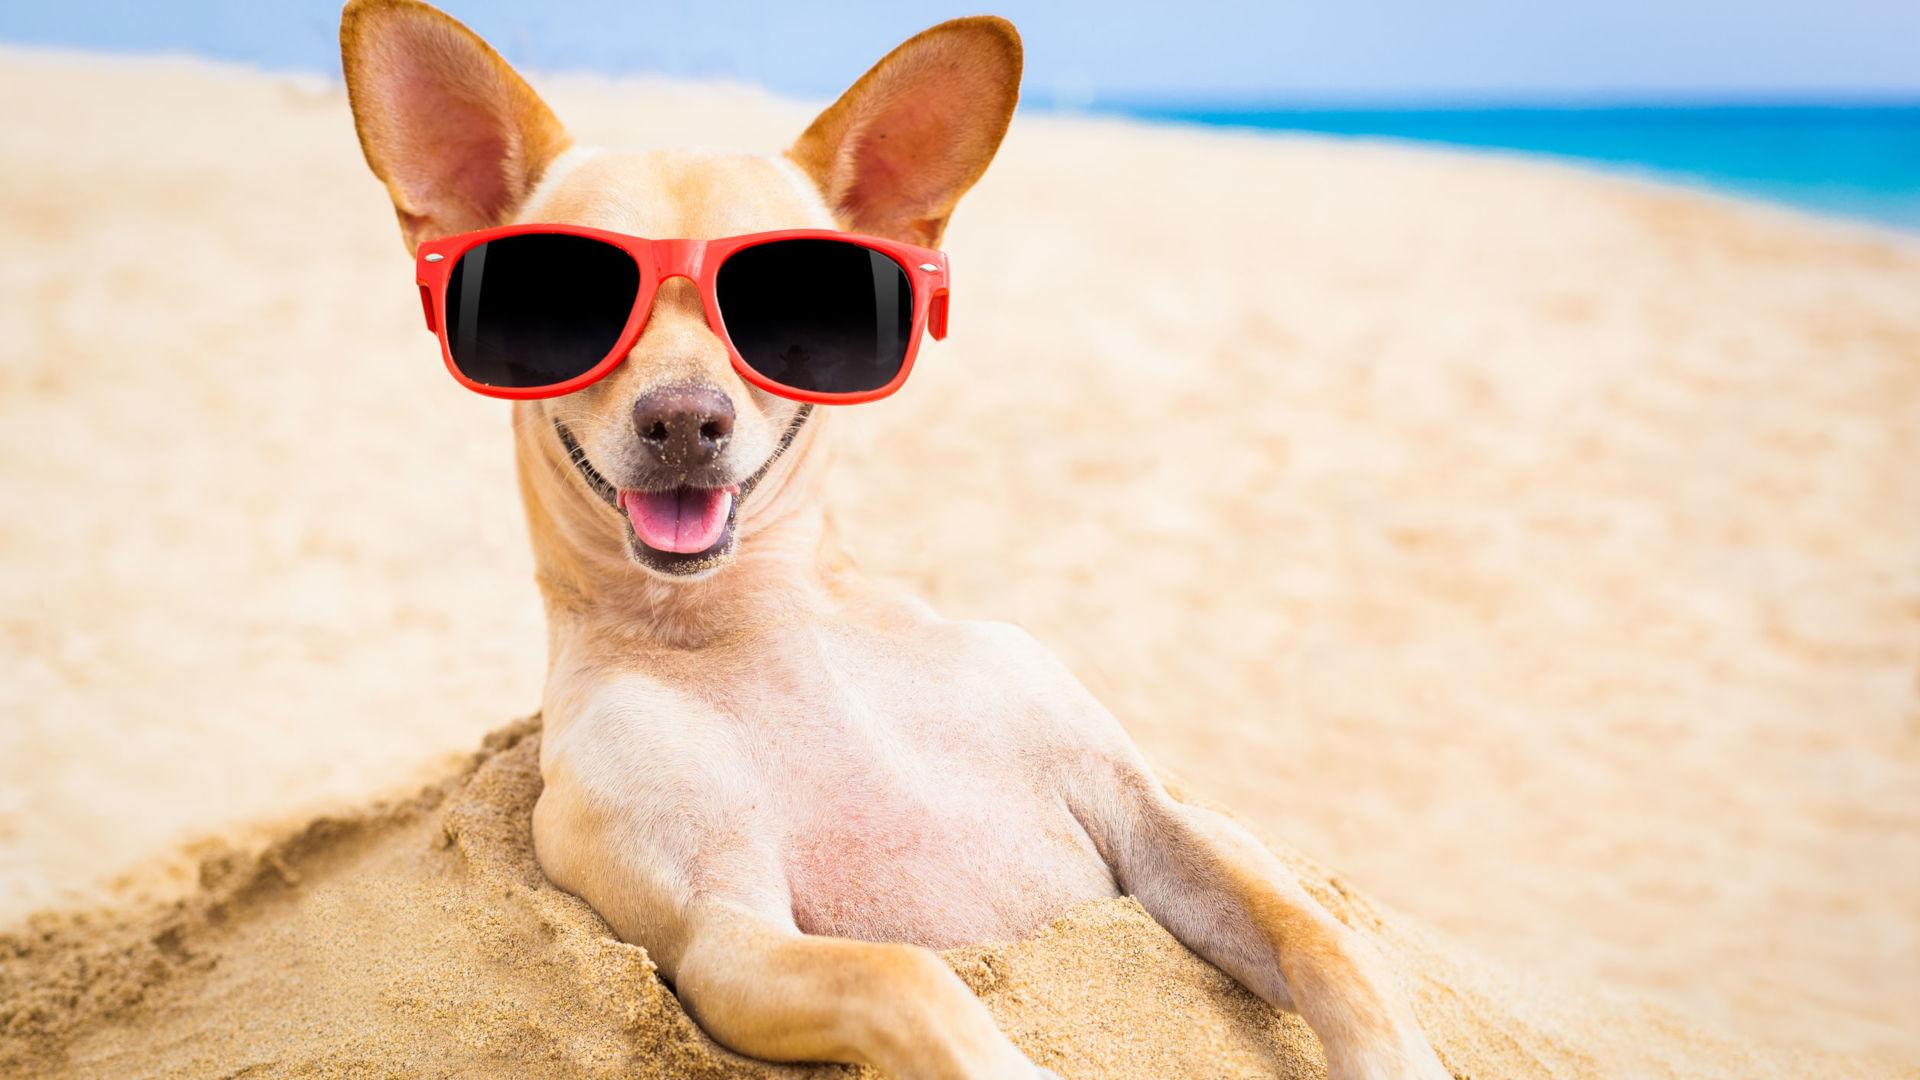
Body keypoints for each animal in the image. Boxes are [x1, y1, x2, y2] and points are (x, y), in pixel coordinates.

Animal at [341, 4, 1451, 1068]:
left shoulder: (1156, 819)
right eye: (560, 304)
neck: (769, 624)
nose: (686, 421)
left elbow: (1327, 946)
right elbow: (907, 980)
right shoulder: (725, 937)